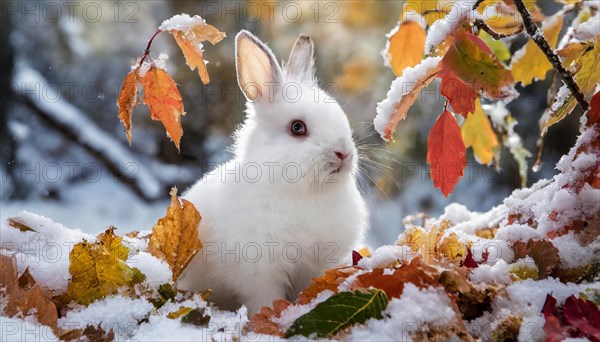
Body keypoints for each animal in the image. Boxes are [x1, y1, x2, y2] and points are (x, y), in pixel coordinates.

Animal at [176, 30, 368, 314]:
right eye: (297, 128)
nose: (344, 153)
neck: (305, 193)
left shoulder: (318, 265)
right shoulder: (260, 272)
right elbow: (265, 300)